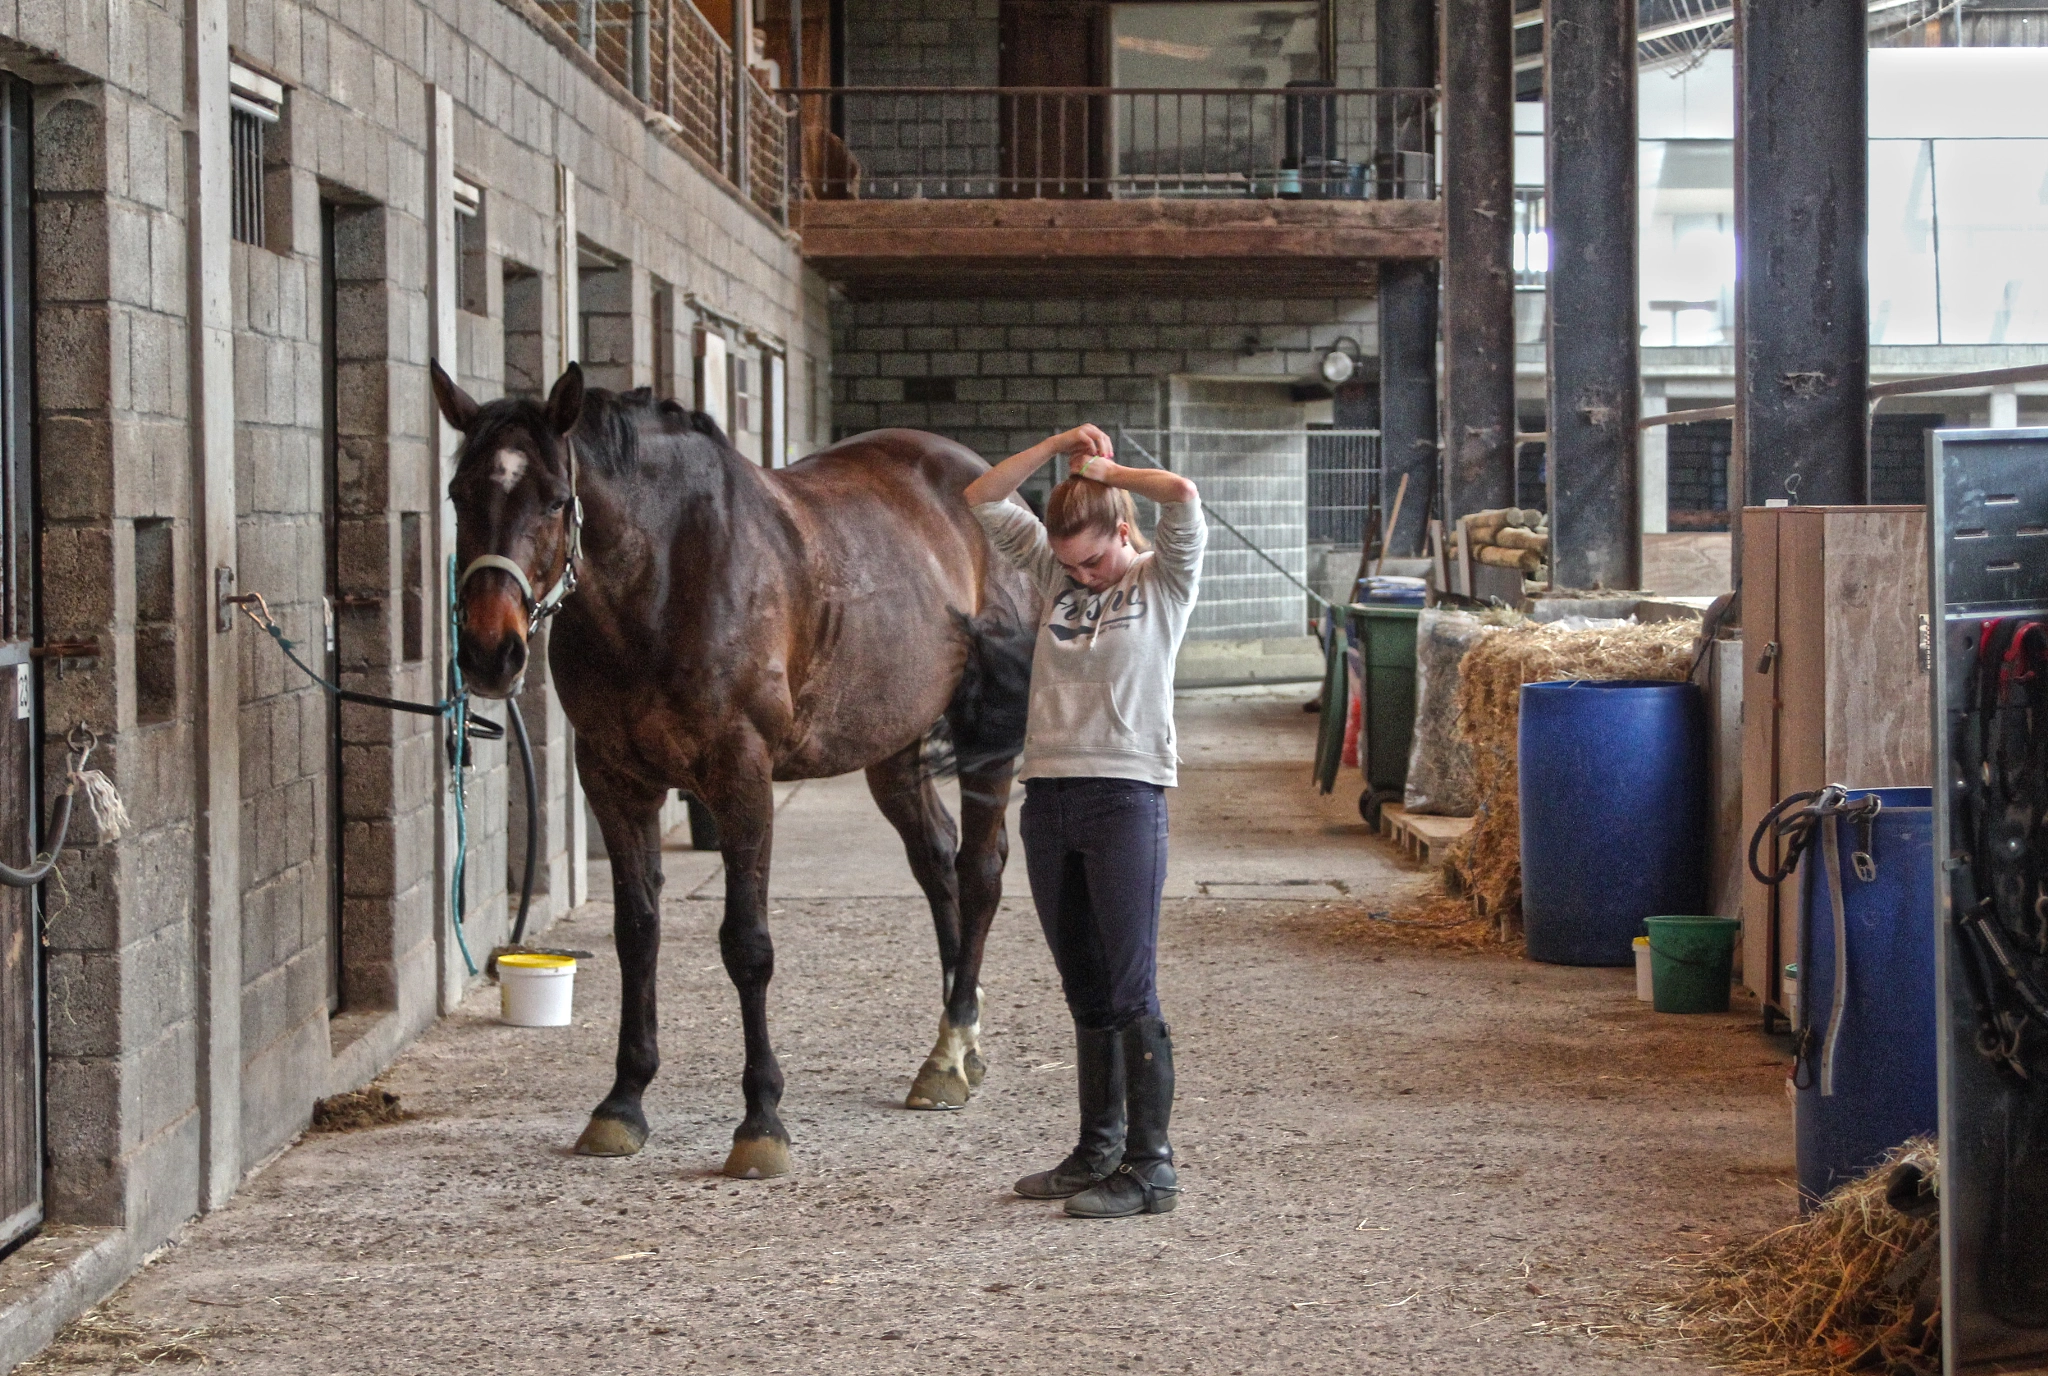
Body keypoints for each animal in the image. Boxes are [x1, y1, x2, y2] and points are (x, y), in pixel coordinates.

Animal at [434, 360, 1040, 1179]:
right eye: (458, 494)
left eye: (557, 499)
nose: (489, 654)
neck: (664, 578)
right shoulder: (613, 780)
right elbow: (637, 933)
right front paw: (622, 1103)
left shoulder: (740, 777)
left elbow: (747, 946)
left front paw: (761, 1120)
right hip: (892, 743)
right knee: (937, 861)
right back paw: (958, 1046)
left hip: (987, 734)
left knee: (979, 871)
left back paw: (950, 1052)